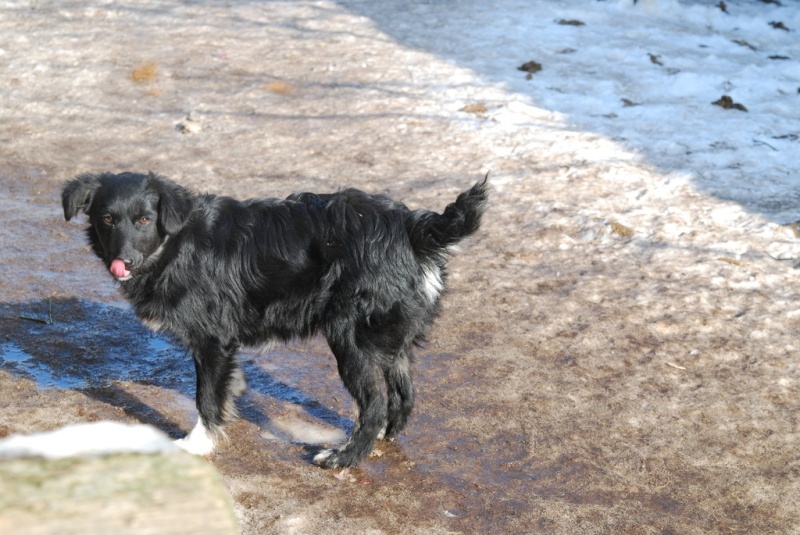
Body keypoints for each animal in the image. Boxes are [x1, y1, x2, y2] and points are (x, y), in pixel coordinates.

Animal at [61, 173, 488, 468]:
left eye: (145, 220)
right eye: (106, 219)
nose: (123, 262)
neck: (175, 245)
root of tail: (412, 227)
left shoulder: (212, 340)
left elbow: (205, 397)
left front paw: (198, 443)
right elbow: (222, 387)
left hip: (351, 340)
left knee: (375, 404)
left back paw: (345, 457)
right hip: (391, 338)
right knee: (404, 395)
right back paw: (380, 437)